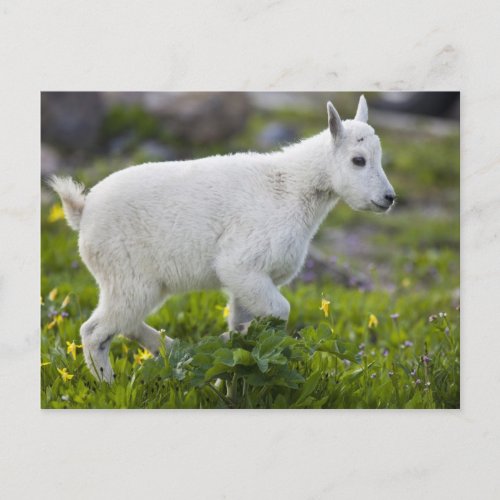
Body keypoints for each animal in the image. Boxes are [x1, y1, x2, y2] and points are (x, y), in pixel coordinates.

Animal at [49, 95, 394, 380]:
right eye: (358, 160)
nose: (389, 198)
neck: (293, 188)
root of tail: (82, 212)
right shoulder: (241, 264)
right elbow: (280, 310)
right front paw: (228, 343)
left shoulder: (250, 280)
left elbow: (246, 322)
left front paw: (234, 357)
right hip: (127, 273)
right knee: (95, 331)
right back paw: (109, 383)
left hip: (136, 282)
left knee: (124, 322)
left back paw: (174, 349)